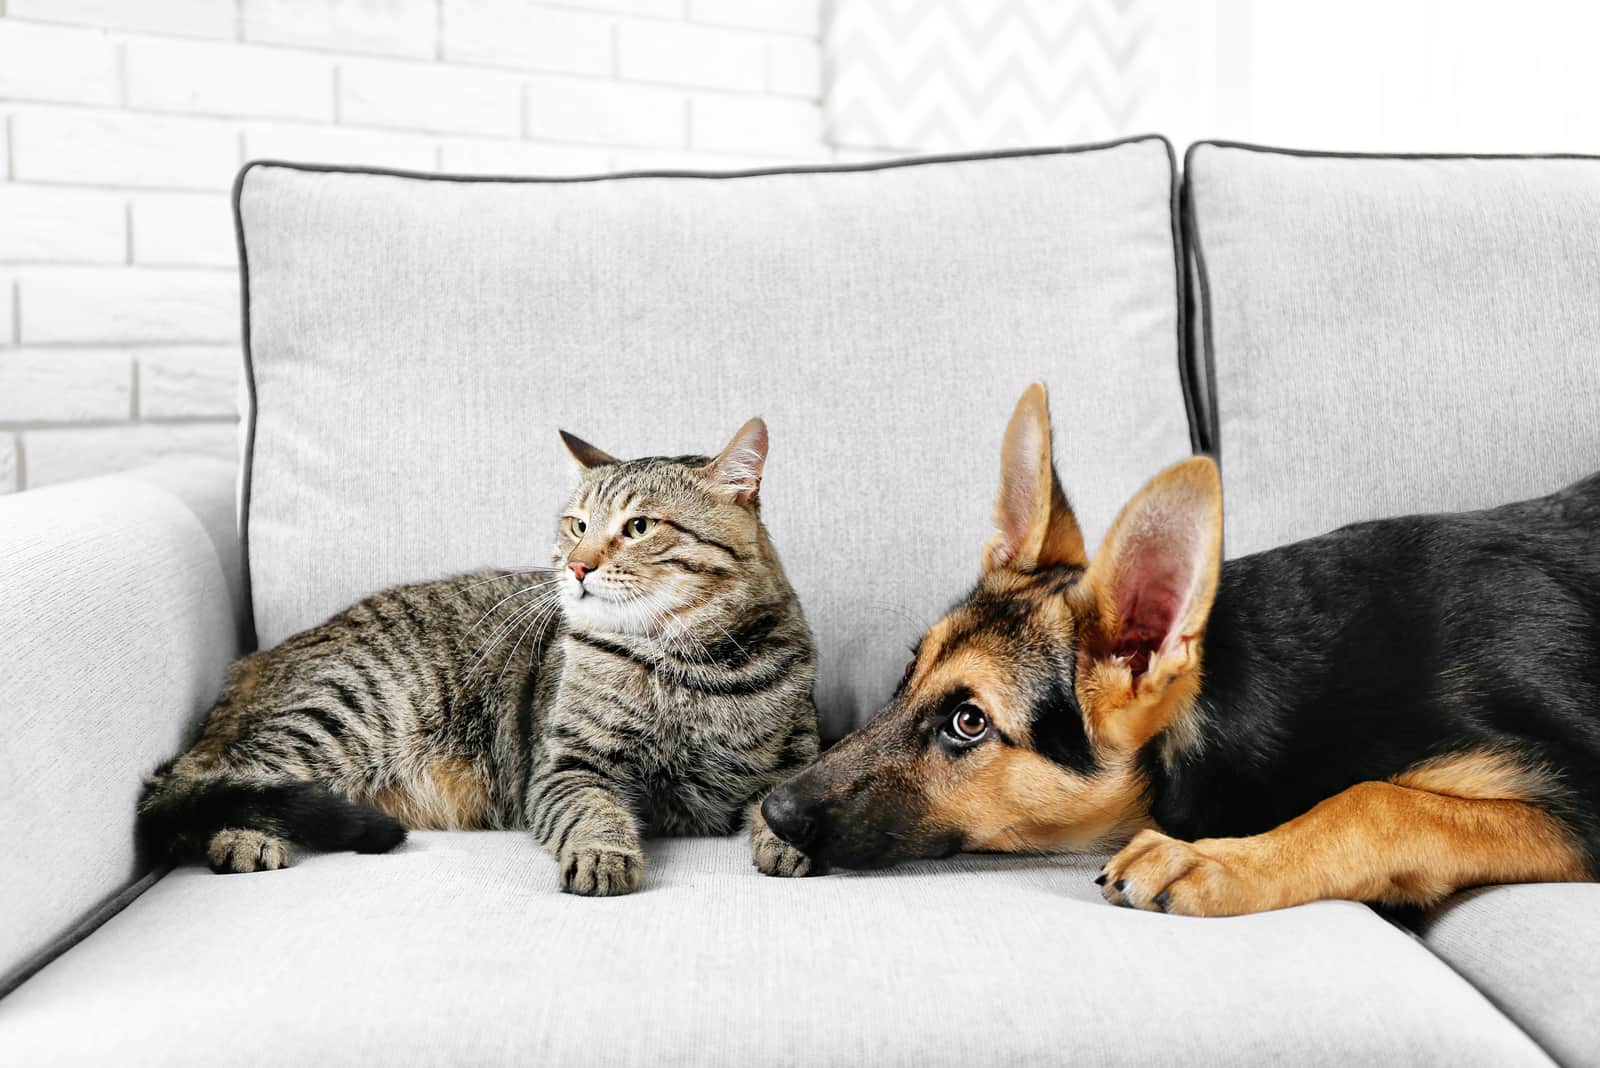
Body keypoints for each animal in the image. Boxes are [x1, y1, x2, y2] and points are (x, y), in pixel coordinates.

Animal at [132, 415, 819, 895]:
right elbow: (594, 813)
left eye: (640, 527)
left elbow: (783, 799)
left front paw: (793, 839)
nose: (577, 566)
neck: (688, 666)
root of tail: (257, 661)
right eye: (577, 525)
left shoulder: (795, 758)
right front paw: (603, 853)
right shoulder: (568, 765)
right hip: (344, 713)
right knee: (231, 777)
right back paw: (244, 834)